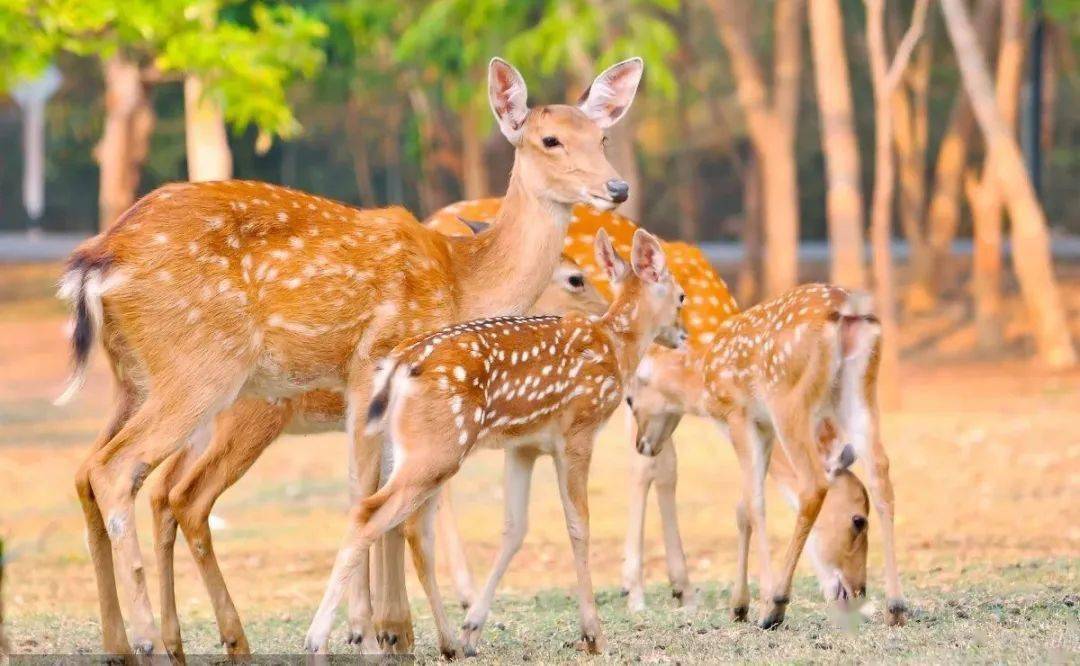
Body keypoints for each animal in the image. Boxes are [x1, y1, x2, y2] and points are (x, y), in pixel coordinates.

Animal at [56, 54, 639, 656]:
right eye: (550, 139)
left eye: (602, 136)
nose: (616, 187)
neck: (463, 283)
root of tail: (96, 261)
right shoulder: (373, 365)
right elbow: (376, 499)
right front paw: (383, 632)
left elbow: (380, 498)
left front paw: (388, 631)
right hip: (203, 369)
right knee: (125, 473)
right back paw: (156, 640)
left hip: (135, 377)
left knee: (93, 473)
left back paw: (131, 643)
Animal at [300, 228, 686, 656]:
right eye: (681, 296)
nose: (683, 335)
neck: (616, 348)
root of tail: (398, 367)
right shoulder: (578, 431)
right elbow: (579, 525)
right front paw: (593, 635)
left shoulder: (524, 445)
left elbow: (515, 527)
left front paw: (473, 629)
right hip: (438, 449)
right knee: (371, 514)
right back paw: (319, 641)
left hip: (411, 450)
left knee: (412, 529)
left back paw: (448, 642)